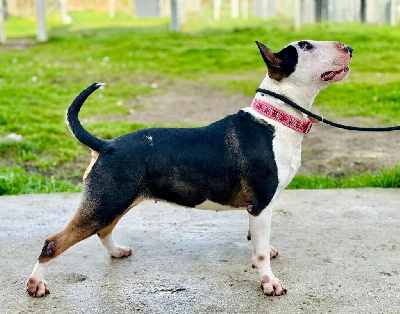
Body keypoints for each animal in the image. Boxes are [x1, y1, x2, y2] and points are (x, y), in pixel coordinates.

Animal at [28, 39, 352, 296]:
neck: (275, 120)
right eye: (306, 47)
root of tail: (106, 145)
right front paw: (269, 282)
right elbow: (260, 253)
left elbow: (256, 240)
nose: (348, 48)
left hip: (117, 200)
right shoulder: (261, 203)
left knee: (104, 229)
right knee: (54, 242)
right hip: (106, 201)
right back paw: (36, 284)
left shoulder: (257, 207)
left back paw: (117, 252)